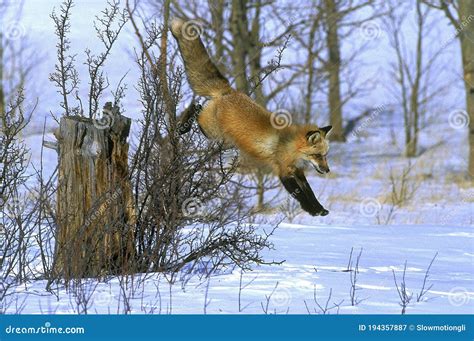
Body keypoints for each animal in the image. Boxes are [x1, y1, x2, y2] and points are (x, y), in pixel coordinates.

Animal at [172, 18, 332, 215]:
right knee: (196, 109)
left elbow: (310, 192)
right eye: (317, 155)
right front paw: (311, 210)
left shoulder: (298, 172)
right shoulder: (283, 171)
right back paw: (183, 125)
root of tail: (229, 91)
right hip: (210, 131)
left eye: (325, 155)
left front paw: (319, 208)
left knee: (198, 105)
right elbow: (300, 195)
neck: (290, 146)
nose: (327, 170)